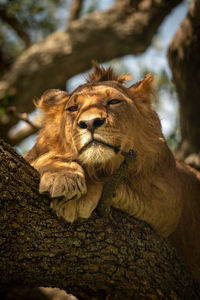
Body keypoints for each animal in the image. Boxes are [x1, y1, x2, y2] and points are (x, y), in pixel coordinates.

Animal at [25, 63, 200, 282]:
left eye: (114, 102)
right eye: (73, 108)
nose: (90, 123)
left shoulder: (170, 201)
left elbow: (105, 179)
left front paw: (75, 201)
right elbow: (45, 159)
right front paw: (63, 177)